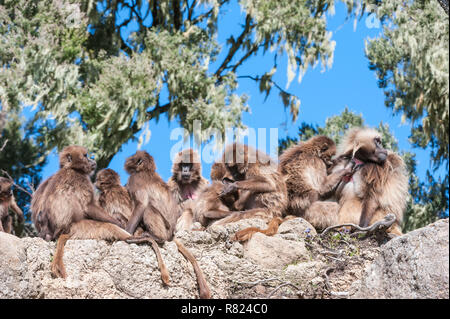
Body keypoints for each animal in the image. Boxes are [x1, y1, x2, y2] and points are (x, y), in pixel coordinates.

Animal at [125, 151, 213, 298]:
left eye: (132, 157)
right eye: (183, 165)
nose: (127, 159)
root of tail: (171, 234)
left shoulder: (134, 178)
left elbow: (142, 204)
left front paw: (127, 233)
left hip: (165, 228)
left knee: (148, 209)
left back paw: (157, 237)